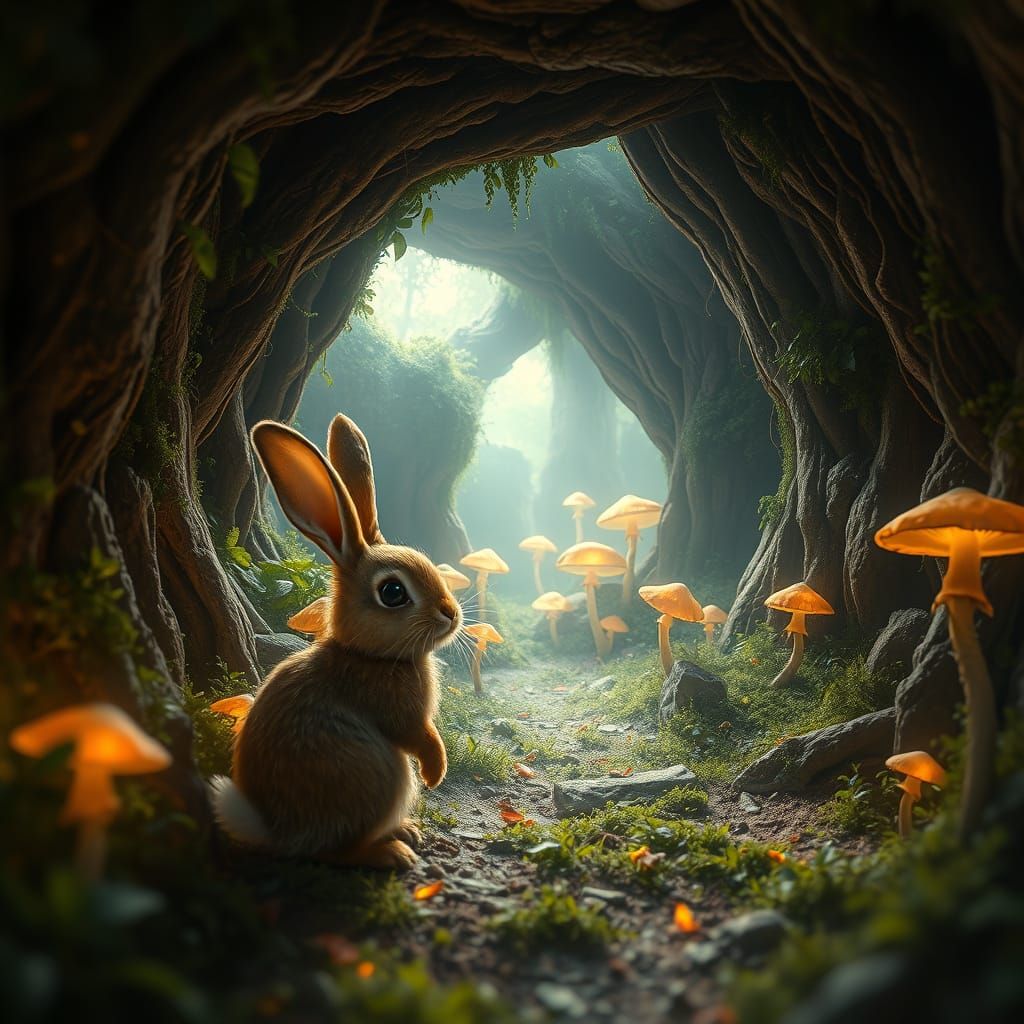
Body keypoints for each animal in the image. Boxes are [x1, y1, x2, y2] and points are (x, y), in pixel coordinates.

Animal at [210, 413, 461, 870]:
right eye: (393, 593)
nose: (451, 614)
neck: (366, 654)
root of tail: (279, 833)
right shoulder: (400, 714)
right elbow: (420, 736)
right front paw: (436, 774)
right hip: (381, 774)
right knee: (336, 850)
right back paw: (393, 851)